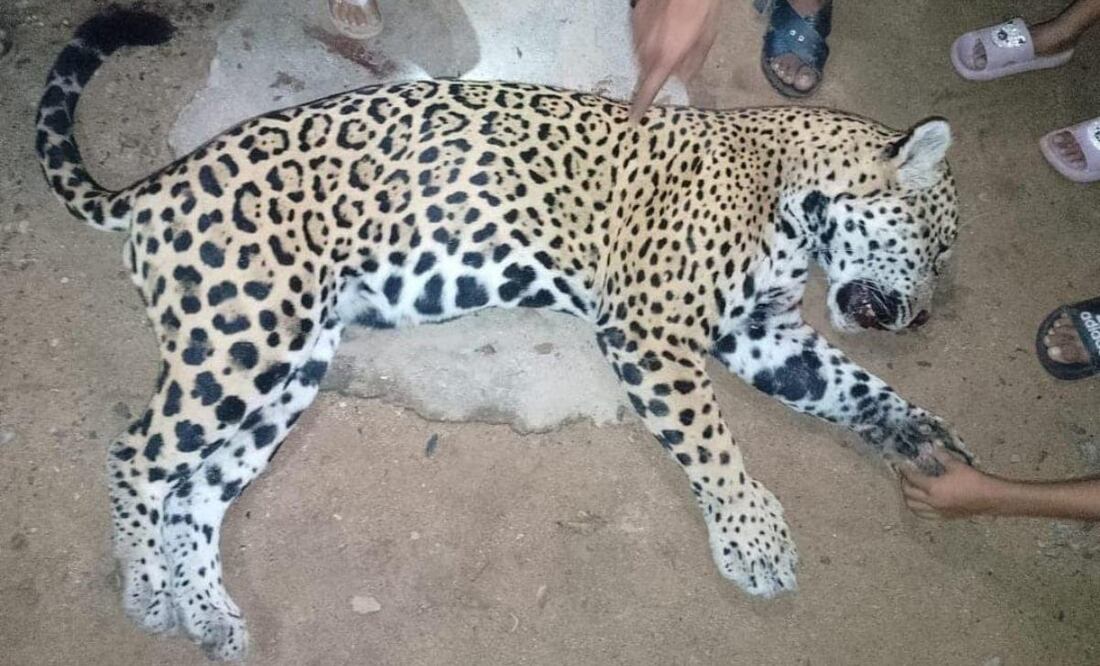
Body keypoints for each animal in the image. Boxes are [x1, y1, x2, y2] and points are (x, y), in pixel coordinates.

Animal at [36, 7, 972, 661]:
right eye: (935, 244)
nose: (926, 315)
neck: (787, 189)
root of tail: (160, 185)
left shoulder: (761, 331)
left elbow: (853, 386)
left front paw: (921, 434)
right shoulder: (654, 329)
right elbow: (712, 442)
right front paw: (754, 538)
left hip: (291, 366)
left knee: (193, 491)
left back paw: (211, 616)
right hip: (242, 339)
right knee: (137, 455)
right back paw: (147, 591)